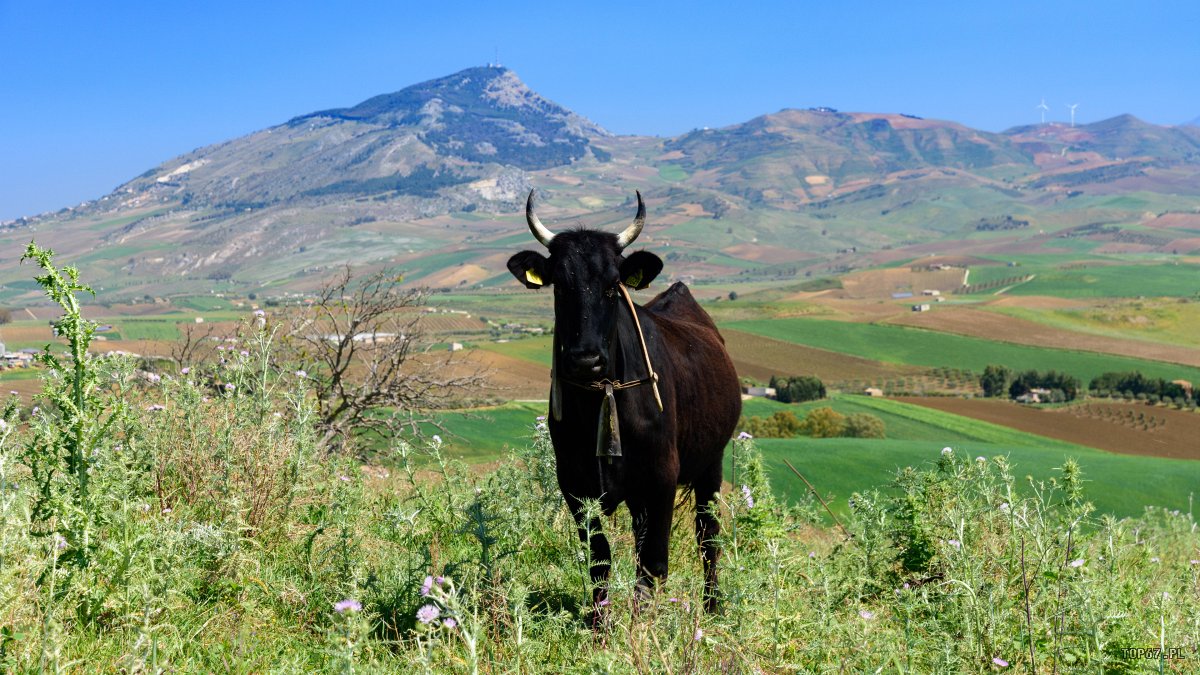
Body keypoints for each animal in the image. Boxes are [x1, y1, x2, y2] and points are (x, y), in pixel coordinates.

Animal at [506, 186, 739, 612]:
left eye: (613, 285)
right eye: (559, 285)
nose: (586, 359)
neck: (602, 398)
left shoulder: (660, 477)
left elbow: (653, 563)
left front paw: (640, 628)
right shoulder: (575, 483)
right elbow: (599, 560)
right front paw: (600, 625)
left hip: (710, 463)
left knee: (708, 536)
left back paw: (713, 608)